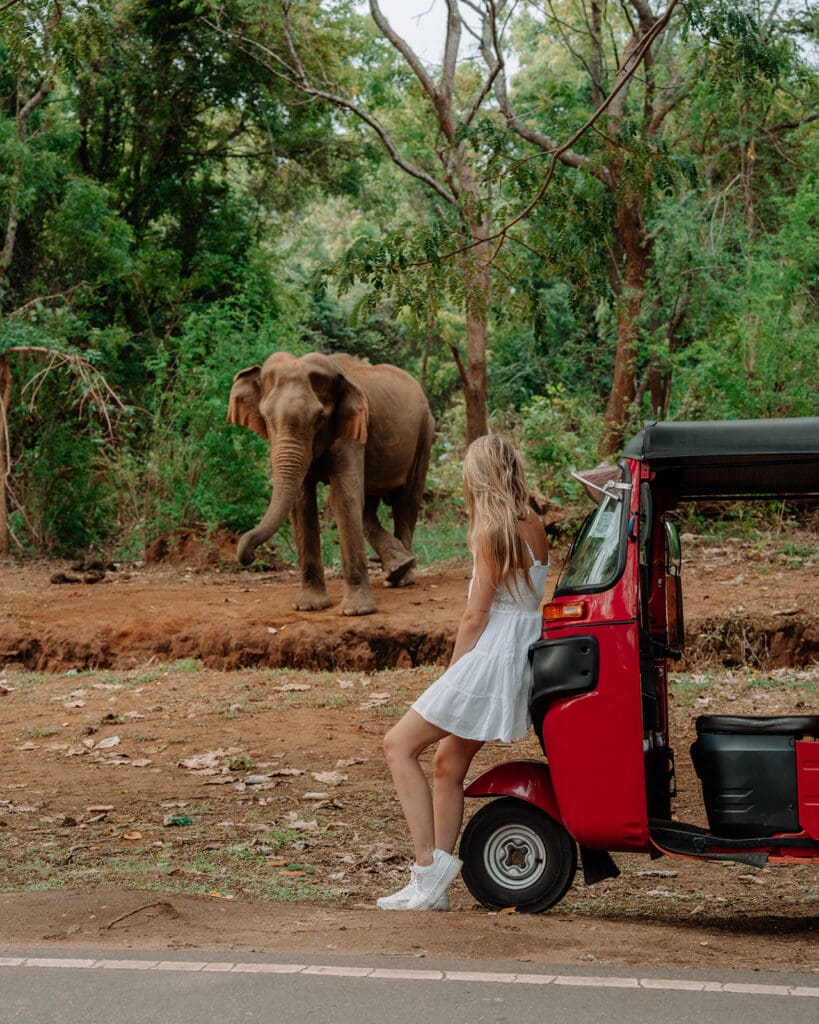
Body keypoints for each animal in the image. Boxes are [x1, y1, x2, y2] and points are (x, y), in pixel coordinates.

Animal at [228, 350, 434, 614]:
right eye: (265, 417)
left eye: (320, 417)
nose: (249, 556)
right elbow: (303, 502)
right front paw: (308, 607)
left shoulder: (353, 430)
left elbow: (345, 496)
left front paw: (356, 612)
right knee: (368, 506)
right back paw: (398, 567)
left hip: (424, 435)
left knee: (406, 502)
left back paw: (403, 577)